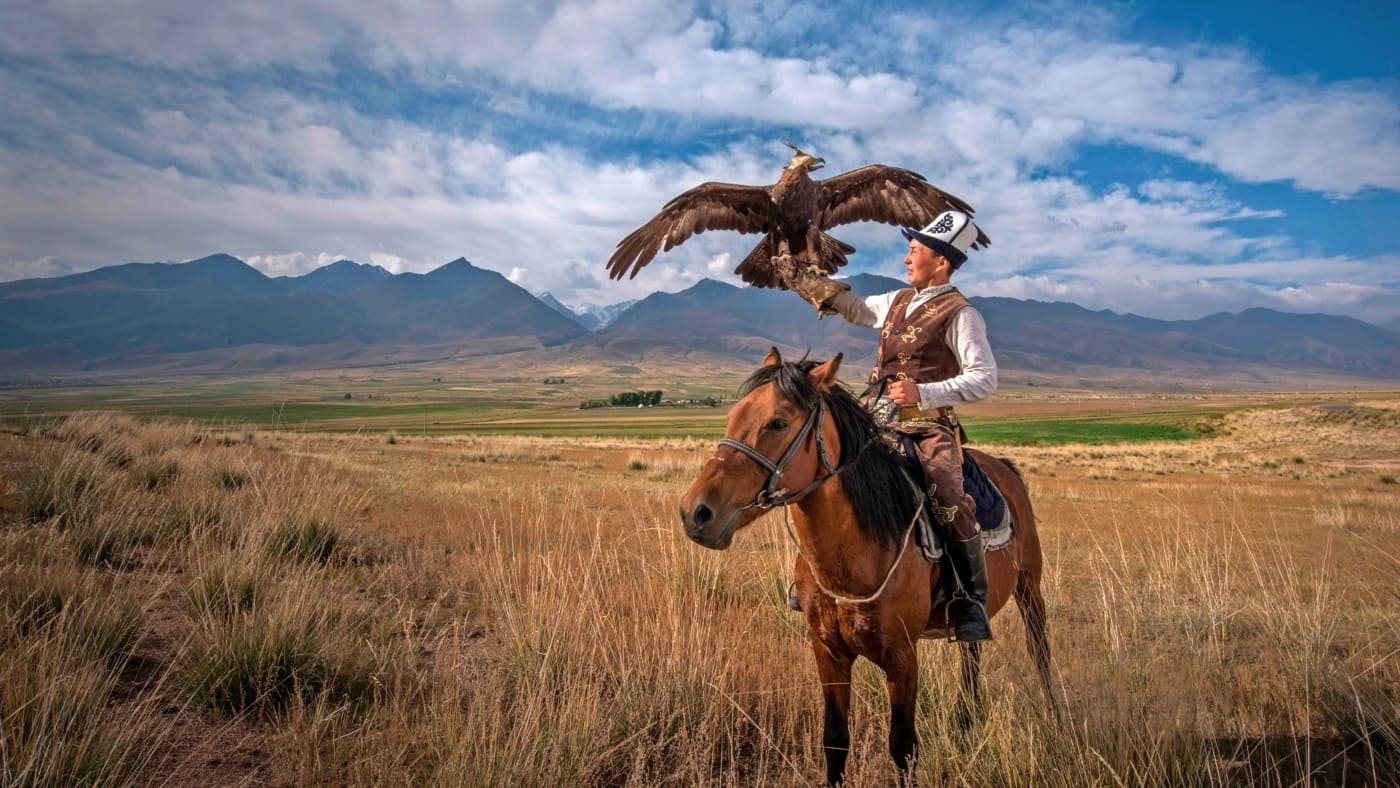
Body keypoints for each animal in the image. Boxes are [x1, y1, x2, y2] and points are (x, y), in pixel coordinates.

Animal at [674, 348, 1052, 783]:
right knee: (971, 653)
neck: (853, 554)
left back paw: (1056, 720)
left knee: (1040, 651)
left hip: (1030, 587)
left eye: (778, 422)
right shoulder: (828, 650)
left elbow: (904, 750)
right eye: (733, 414)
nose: (696, 512)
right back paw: (966, 721)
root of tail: (1005, 468)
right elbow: (835, 740)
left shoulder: (902, 658)